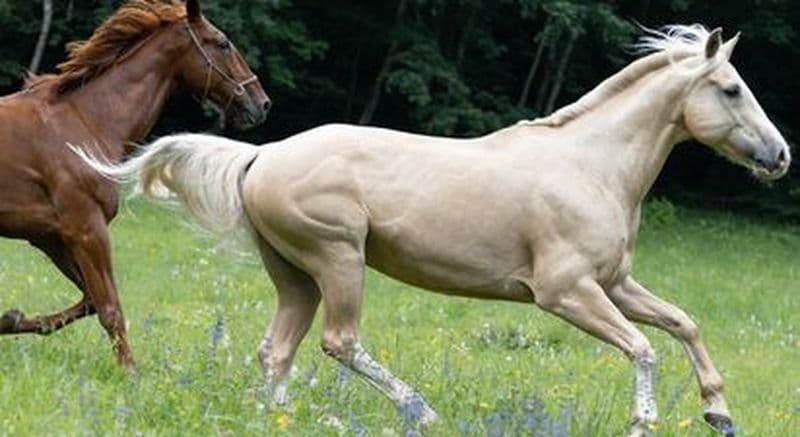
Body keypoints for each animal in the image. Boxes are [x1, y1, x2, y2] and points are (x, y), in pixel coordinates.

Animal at [0, 0, 269, 368]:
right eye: (223, 42)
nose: (262, 103)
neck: (86, 122)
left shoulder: (50, 237)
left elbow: (89, 301)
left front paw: (9, 319)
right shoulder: (86, 231)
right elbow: (109, 308)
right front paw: (129, 370)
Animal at [77, 26, 790, 435]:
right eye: (730, 89)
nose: (780, 156)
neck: (591, 166)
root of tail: (262, 155)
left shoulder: (614, 283)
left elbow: (682, 324)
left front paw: (719, 413)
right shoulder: (565, 293)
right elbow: (643, 347)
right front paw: (644, 421)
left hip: (295, 275)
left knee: (275, 350)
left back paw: (281, 418)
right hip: (338, 259)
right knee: (339, 342)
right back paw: (418, 410)